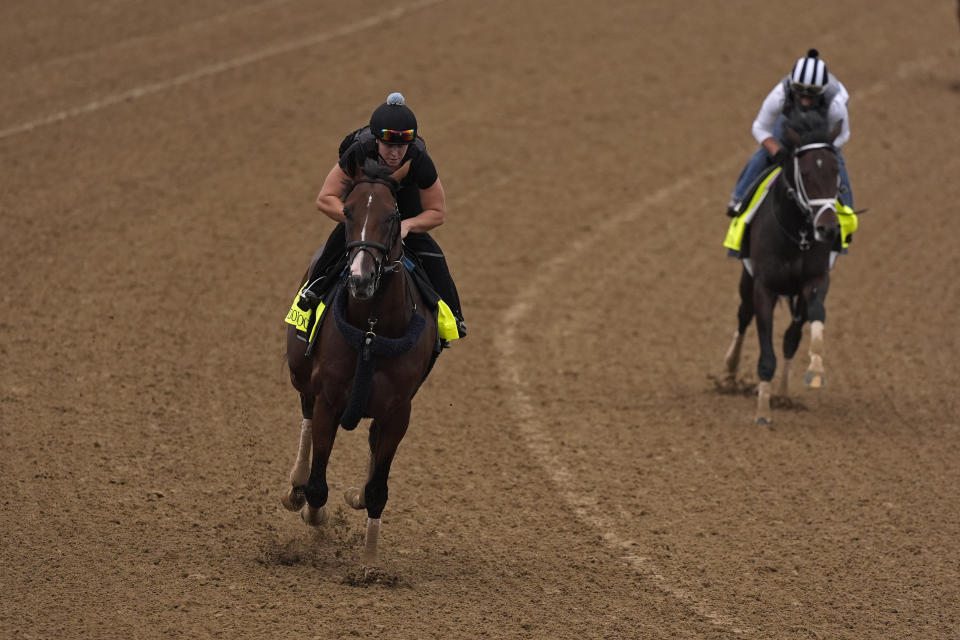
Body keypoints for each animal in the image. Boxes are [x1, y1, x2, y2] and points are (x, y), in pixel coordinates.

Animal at [282, 158, 438, 564]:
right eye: (348, 211)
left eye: (393, 215)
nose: (361, 278)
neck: (371, 328)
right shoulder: (330, 398)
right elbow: (318, 485)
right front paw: (313, 513)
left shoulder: (398, 411)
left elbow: (377, 491)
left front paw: (368, 564)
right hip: (300, 371)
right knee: (305, 412)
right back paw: (295, 487)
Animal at [724, 111, 844, 424]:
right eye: (806, 173)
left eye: (835, 171)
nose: (828, 229)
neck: (797, 234)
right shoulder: (764, 286)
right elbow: (766, 354)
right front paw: (762, 411)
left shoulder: (815, 280)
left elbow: (813, 319)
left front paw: (814, 371)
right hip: (747, 280)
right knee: (744, 315)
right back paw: (729, 371)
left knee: (792, 336)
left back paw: (782, 393)